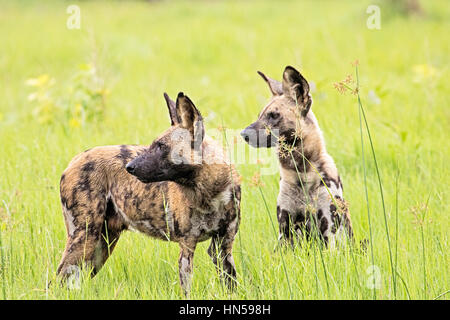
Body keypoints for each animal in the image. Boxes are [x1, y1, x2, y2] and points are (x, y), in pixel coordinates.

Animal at [57, 90, 241, 296]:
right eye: (153, 144)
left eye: (161, 146)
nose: (129, 167)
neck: (209, 192)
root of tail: (75, 160)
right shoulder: (187, 247)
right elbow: (187, 290)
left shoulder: (223, 247)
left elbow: (231, 284)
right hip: (84, 239)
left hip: (99, 247)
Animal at [241, 66, 354, 249]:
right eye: (260, 115)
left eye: (274, 115)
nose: (242, 134)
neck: (302, 173)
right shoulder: (285, 230)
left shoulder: (329, 231)